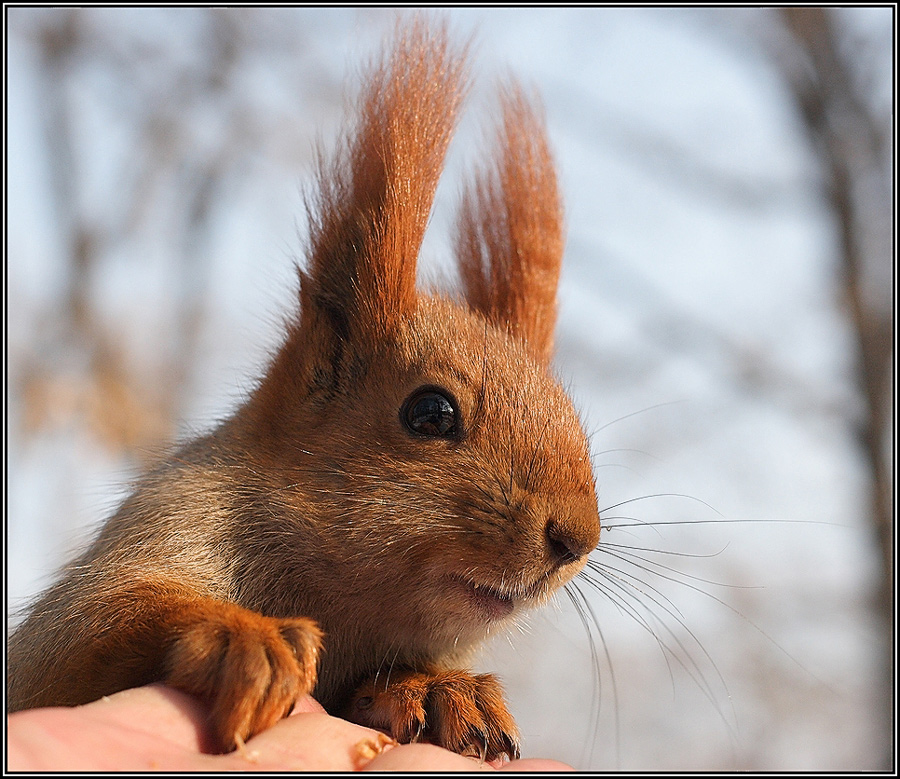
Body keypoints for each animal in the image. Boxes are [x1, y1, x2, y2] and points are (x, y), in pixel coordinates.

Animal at [7, 18, 600, 760]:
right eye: (430, 412)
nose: (578, 537)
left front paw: (437, 686)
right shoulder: (165, 522)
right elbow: (84, 630)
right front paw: (240, 635)